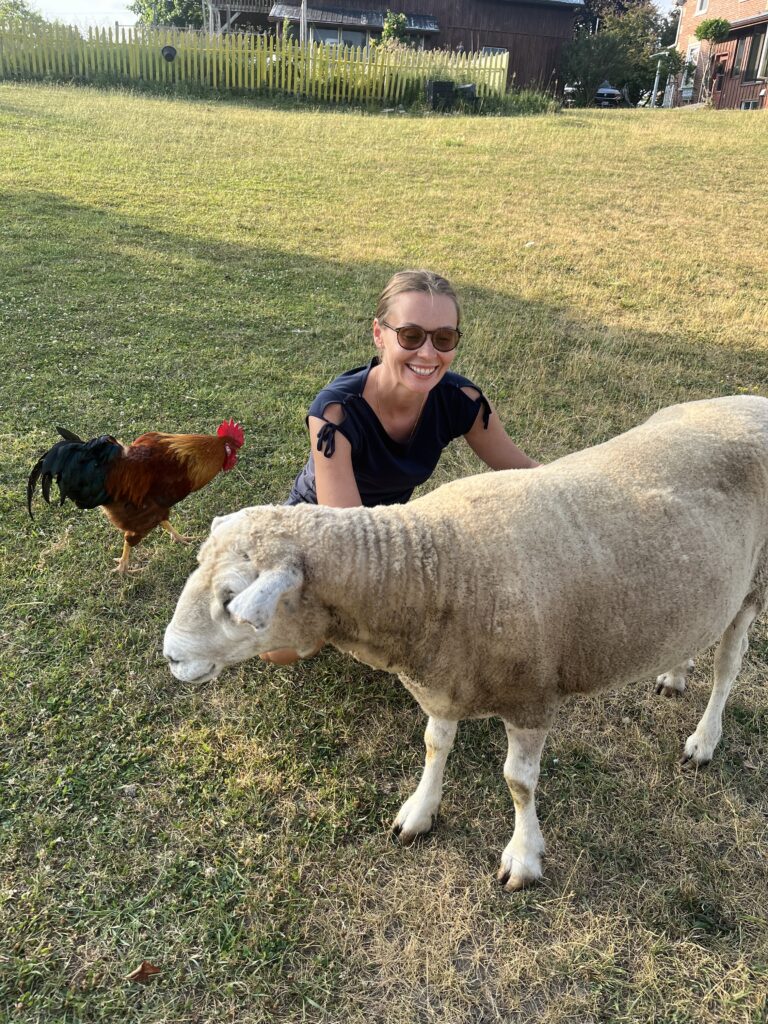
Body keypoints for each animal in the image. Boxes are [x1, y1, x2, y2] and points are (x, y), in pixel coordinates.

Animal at [164, 395, 768, 891]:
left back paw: (704, 740)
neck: (435, 565)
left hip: (753, 586)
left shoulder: (531, 697)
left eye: (232, 599)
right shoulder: (444, 676)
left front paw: (523, 857)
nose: (171, 655)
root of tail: (751, 400)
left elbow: (518, 782)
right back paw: (674, 672)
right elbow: (435, 745)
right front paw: (419, 811)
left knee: (728, 665)